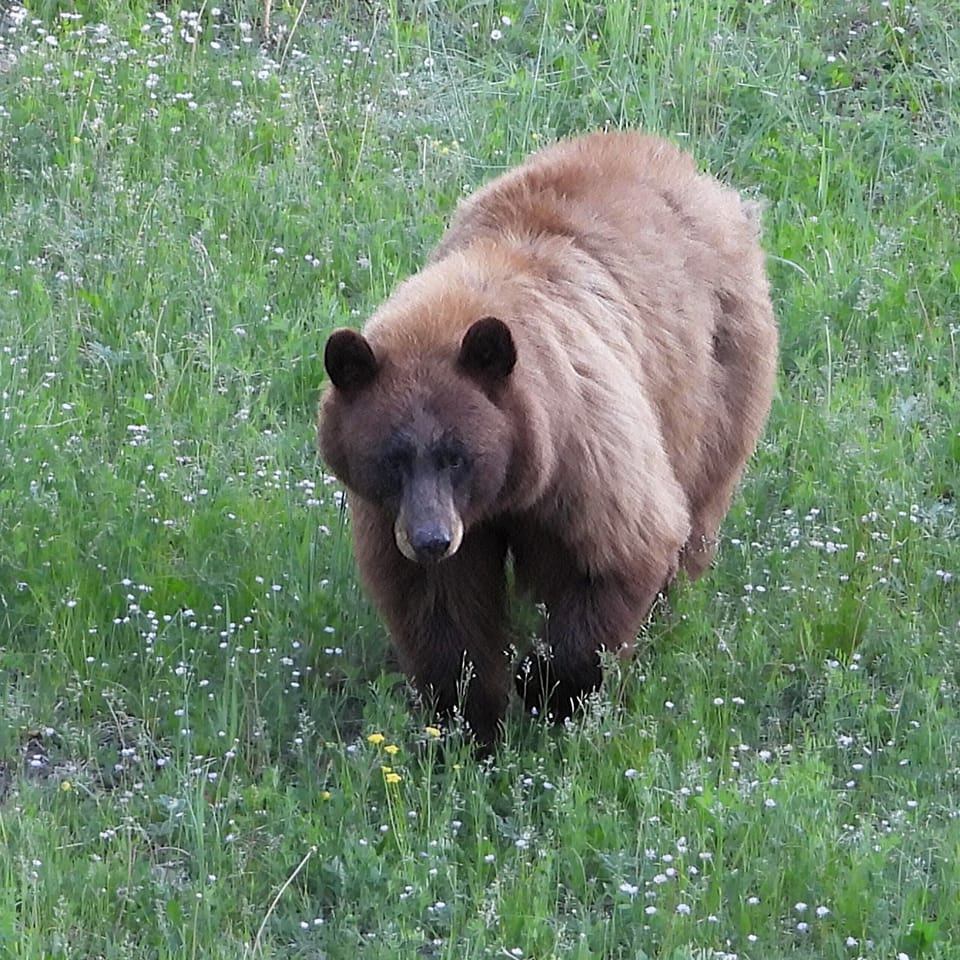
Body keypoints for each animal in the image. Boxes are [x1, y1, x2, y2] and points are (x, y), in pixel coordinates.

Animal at [318, 130, 778, 746]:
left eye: (457, 455)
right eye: (393, 459)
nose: (431, 538)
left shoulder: (582, 446)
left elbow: (619, 552)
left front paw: (547, 688)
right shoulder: (409, 516)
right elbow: (442, 609)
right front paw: (468, 721)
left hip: (713, 380)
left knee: (697, 507)